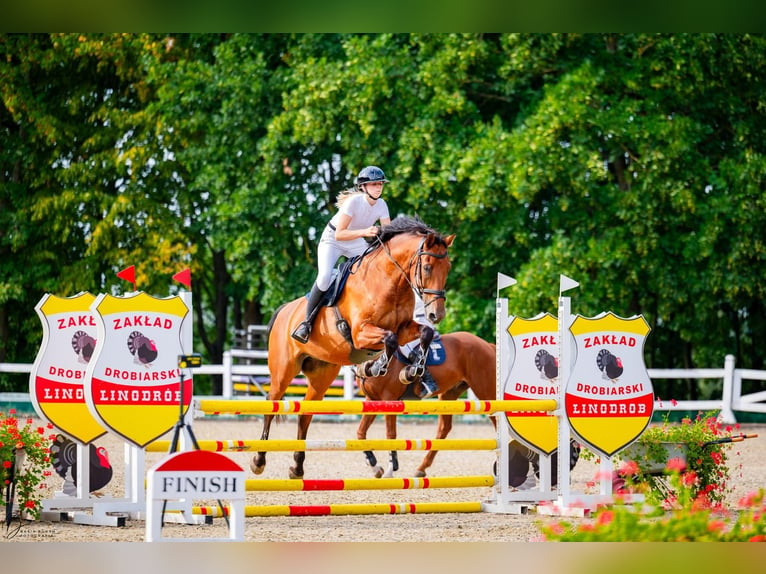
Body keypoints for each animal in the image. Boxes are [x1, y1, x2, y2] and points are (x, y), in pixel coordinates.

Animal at [252, 217, 456, 482]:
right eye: (428, 267)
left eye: (448, 268)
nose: (436, 315)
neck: (390, 282)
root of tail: (284, 310)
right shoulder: (361, 332)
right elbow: (390, 340)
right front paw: (376, 367)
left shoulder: (404, 328)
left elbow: (424, 334)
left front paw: (410, 371)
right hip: (283, 370)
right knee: (271, 403)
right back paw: (258, 461)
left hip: (322, 374)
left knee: (305, 414)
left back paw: (297, 467)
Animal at [356, 330, 498, 480]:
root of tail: (487, 345)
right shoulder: (372, 399)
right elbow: (360, 432)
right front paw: (374, 466)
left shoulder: (390, 399)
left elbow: (390, 434)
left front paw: (390, 471)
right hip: (449, 394)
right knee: (444, 428)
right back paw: (421, 468)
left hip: (485, 392)